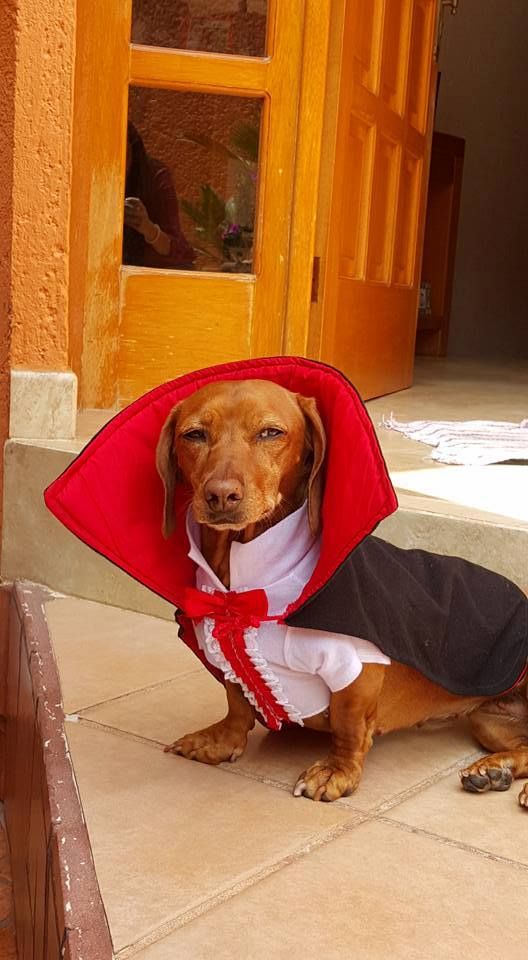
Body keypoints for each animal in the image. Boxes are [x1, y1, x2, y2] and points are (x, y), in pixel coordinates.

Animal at [155, 378, 524, 808]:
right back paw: (495, 769)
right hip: (489, 720)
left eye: (270, 432)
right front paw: (221, 739)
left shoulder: (355, 667)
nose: (220, 495)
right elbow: (236, 699)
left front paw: (337, 770)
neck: (244, 583)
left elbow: (350, 725)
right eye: (194, 435)